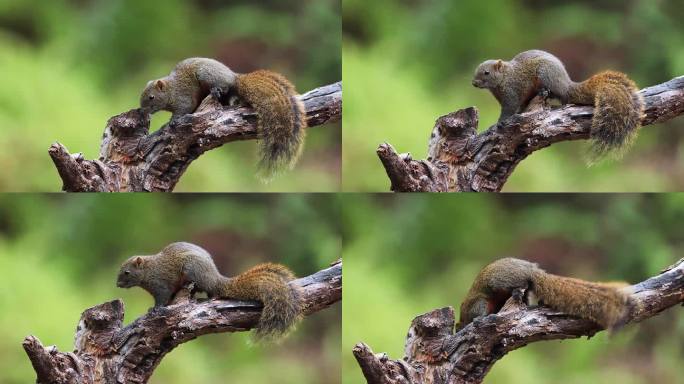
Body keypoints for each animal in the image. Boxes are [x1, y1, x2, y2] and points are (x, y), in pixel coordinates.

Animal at [117, 242, 302, 340]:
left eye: (127, 272)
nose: (117, 284)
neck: (149, 270)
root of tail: (215, 278)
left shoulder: (161, 285)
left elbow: (162, 298)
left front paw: (155, 309)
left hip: (192, 270)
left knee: (211, 292)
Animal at [140, 57, 306, 180]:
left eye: (151, 97)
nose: (142, 111)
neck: (171, 90)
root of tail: (234, 77)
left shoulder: (183, 99)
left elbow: (183, 110)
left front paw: (172, 121)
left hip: (206, 74)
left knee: (223, 87)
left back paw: (217, 89)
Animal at [456, 256, 632, 332]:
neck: (463, 316)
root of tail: (531, 270)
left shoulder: (476, 303)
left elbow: (480, 310)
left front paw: (479, 320)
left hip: (499, 281)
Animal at [472, 49, 644, 160]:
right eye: (476, 70)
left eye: (486, 72)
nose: (474, 83)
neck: (504, 78)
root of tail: (566, 85)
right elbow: (517, 108)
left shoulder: (512, 93)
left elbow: (508, 110)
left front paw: (499, 123)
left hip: (546, 75)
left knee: (561, 97)